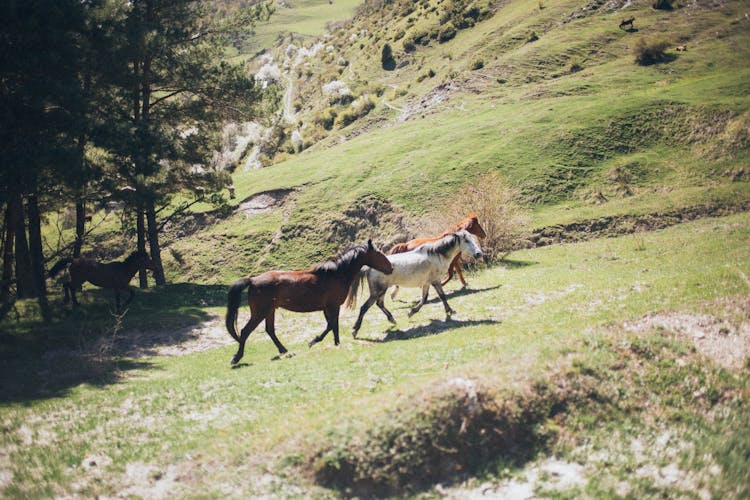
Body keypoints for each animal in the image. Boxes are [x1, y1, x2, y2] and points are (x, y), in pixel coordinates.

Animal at [226, 238, 396, 364]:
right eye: (379, 254)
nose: (391, 268)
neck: (336, 275)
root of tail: (253, 280)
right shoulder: (332, 306)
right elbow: (332, 326)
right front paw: (318, 341)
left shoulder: (328, 308)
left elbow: (332, 326)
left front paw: (330, 343)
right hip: (260, 312)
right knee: (245, 331)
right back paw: (236, 358)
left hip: (269, 311)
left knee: (270, 330)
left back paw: (284, 350)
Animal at [346, 230, 482, 336]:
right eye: (466, 241)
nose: (478, 254)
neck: (437, 255)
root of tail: (368, 267)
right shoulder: (435, 281)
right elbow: (439, 296)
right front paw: (412, 312)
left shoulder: (427, 283)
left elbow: (427, 298)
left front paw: (448, 311)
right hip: (377, 291)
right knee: (364, 307)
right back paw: (355, 330)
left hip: (381, 291)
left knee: (379, 304)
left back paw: (392, 319)